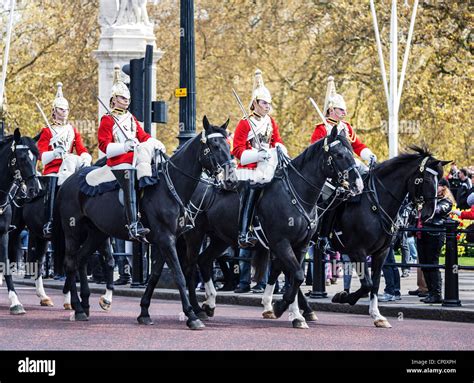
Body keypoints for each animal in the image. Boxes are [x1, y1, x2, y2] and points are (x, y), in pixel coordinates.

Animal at [57, 117, 237, 330]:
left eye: (229, 146)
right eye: (215, 145)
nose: (232, 181)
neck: (169, 187)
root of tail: (68, 181)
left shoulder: (165, 241)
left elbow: (155, 275)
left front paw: (144, 312)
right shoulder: (166, 239)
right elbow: (179, 276)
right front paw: (192, 316)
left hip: (97, 233)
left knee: (81, 260)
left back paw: (84, 305)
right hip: (72, 230)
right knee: (70, 263)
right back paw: (77, 307)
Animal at [169, 127, 362, 328]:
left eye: (351, 152)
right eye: (339, 154)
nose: (358, 184)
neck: (297, 194)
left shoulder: (299, 246)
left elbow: (293, 275)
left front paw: (292, 313)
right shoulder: (281, 243)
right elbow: (296, 275)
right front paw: (281, 307)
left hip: (220, 238)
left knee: (204, 261)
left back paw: (209, 303)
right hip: (195, 235)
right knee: (190, 268)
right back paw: (196, 310)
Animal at [326, 148, 448, 328]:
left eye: (439, 179)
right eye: (425, 179)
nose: (429, 214)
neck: (375, 204)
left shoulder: (380, 253)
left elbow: (374, 283)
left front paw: (377, 315)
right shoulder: (357, 252)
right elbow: (368, 284)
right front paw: (343, 297)